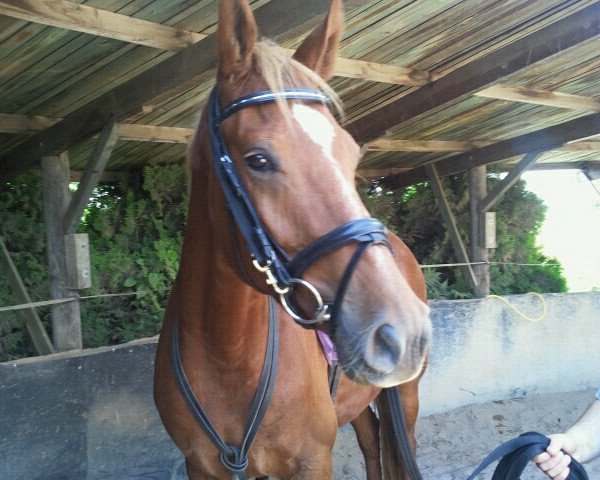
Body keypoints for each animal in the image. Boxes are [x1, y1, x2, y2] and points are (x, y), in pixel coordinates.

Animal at [152, 1, 428, 478]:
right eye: (258, 160)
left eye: (351, 155)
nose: (403, 331)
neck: (227, 356)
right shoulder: (201, 466)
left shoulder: (312, 461)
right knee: (372, 440)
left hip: (407, 396)